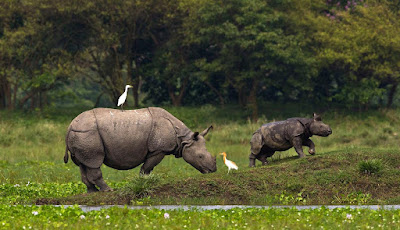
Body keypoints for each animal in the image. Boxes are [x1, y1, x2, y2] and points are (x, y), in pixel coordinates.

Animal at [64, 107, 217, 192]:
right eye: (200, 156)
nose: (213, 170)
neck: (184, 139)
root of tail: (70, 125)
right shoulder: (158, 150)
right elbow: (147, 167)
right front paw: (143, 182)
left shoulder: (157, 150)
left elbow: (148, 168)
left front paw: (146, 182)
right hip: (87, 133)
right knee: (94, 162)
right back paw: (108, 190)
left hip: (81, 135)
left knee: (84, 164)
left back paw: (93, 192)